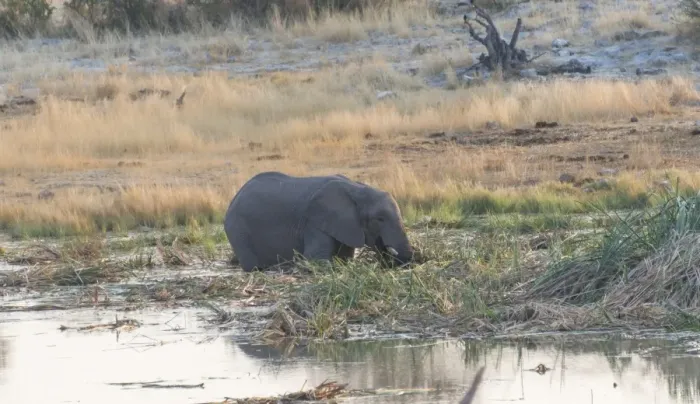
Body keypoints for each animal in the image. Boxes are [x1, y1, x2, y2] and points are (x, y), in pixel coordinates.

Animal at [223, 171, 414, 272]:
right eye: (379, 219)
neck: (356, 188)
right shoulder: (314, 221)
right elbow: (315, 259)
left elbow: (345, 257)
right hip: (239, 231)